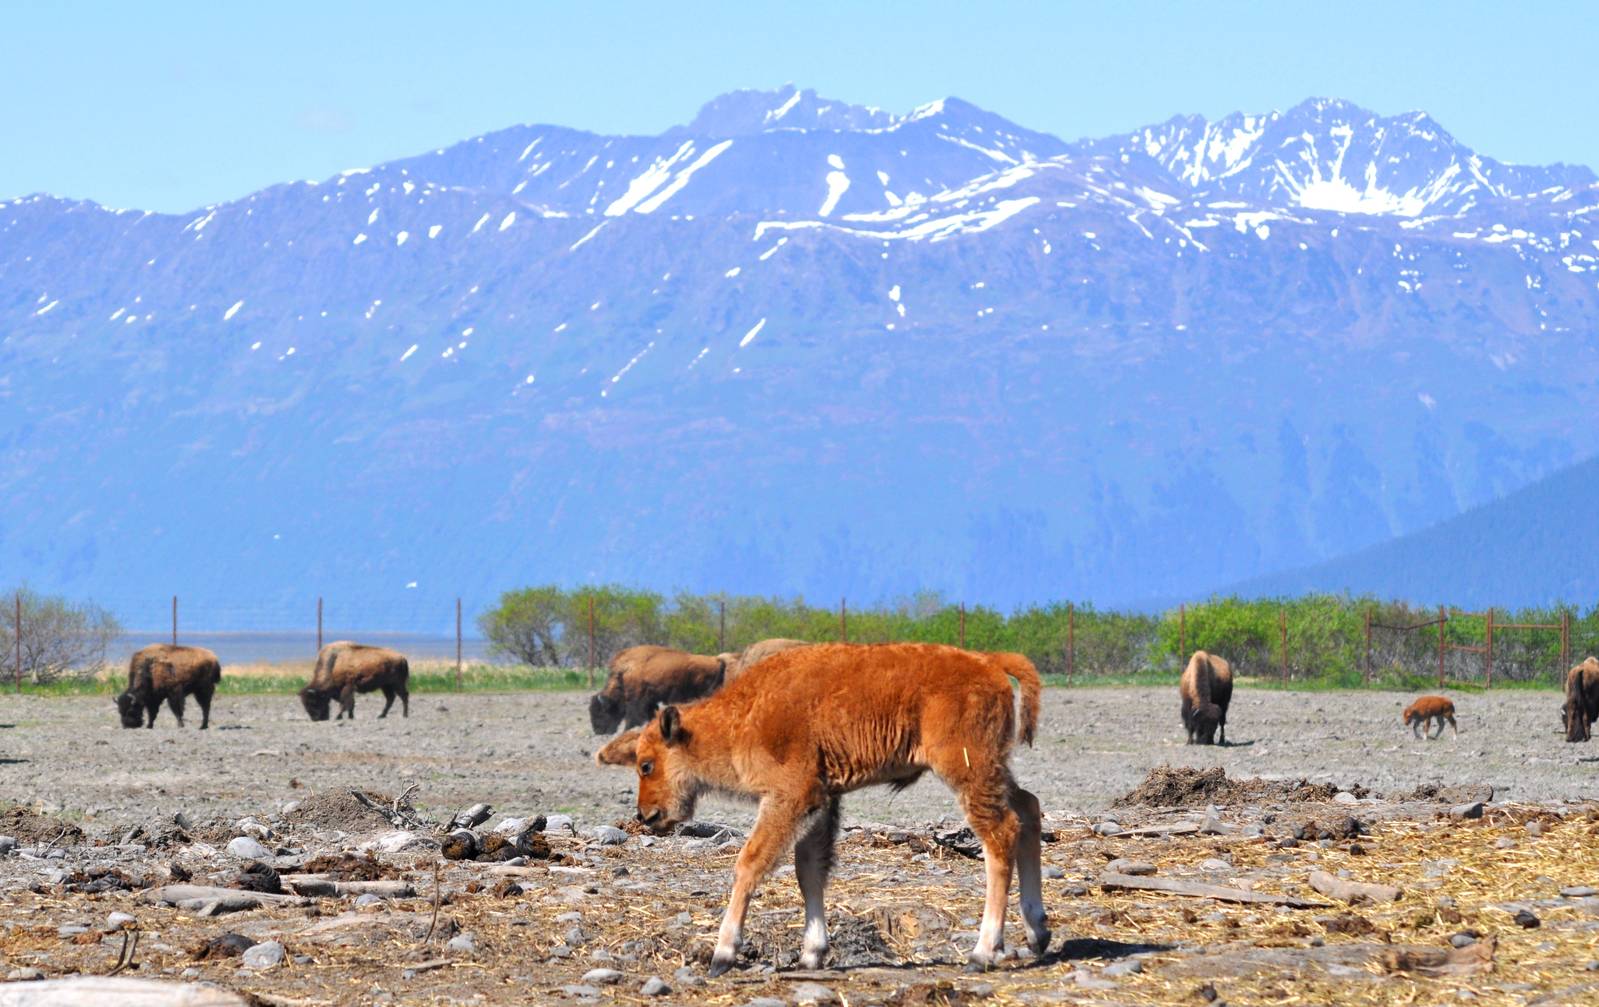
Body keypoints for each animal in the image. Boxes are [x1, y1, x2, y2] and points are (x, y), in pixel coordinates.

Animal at [588, 646, 726, 734]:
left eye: (600, 712)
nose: (598, 731)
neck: (623, 674)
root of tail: (716, 660)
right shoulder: (650, 701)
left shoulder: (636, 701)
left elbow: (633, 717)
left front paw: (626, 730)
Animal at [631, 642, 1048, 975]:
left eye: (646, 765)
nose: (646, 815)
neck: (744, 713)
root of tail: (989, 660)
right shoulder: (822, 800)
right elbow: (809, 869)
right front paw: (811, 953)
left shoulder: (789, 797)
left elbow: (750, 863)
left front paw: (723, 953)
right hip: (993, 770)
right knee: (1028, 810)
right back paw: (1037, 932)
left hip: (966, 770)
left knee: (1000, 835)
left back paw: (983, 952)